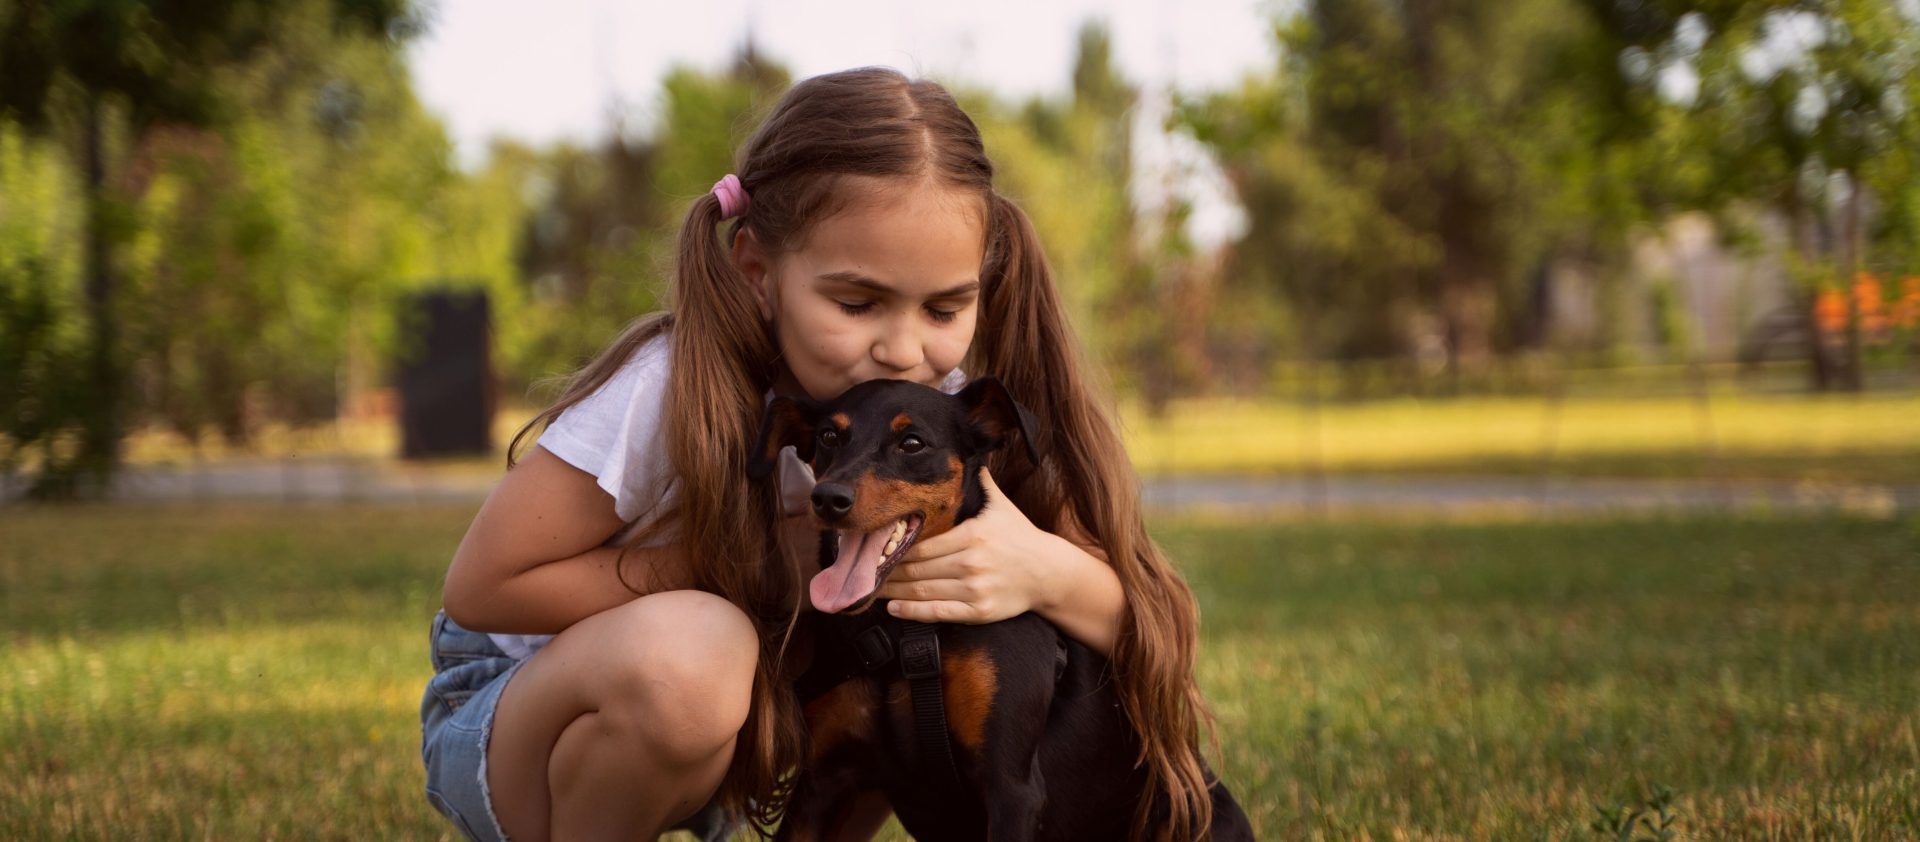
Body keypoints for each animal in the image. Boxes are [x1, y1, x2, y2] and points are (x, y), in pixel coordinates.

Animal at [748, 381, 1259, 842]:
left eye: (912, 443)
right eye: (828, 437)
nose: (828, 499)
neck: (907, 634)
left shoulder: (1011, 787)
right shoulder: (820, 784)